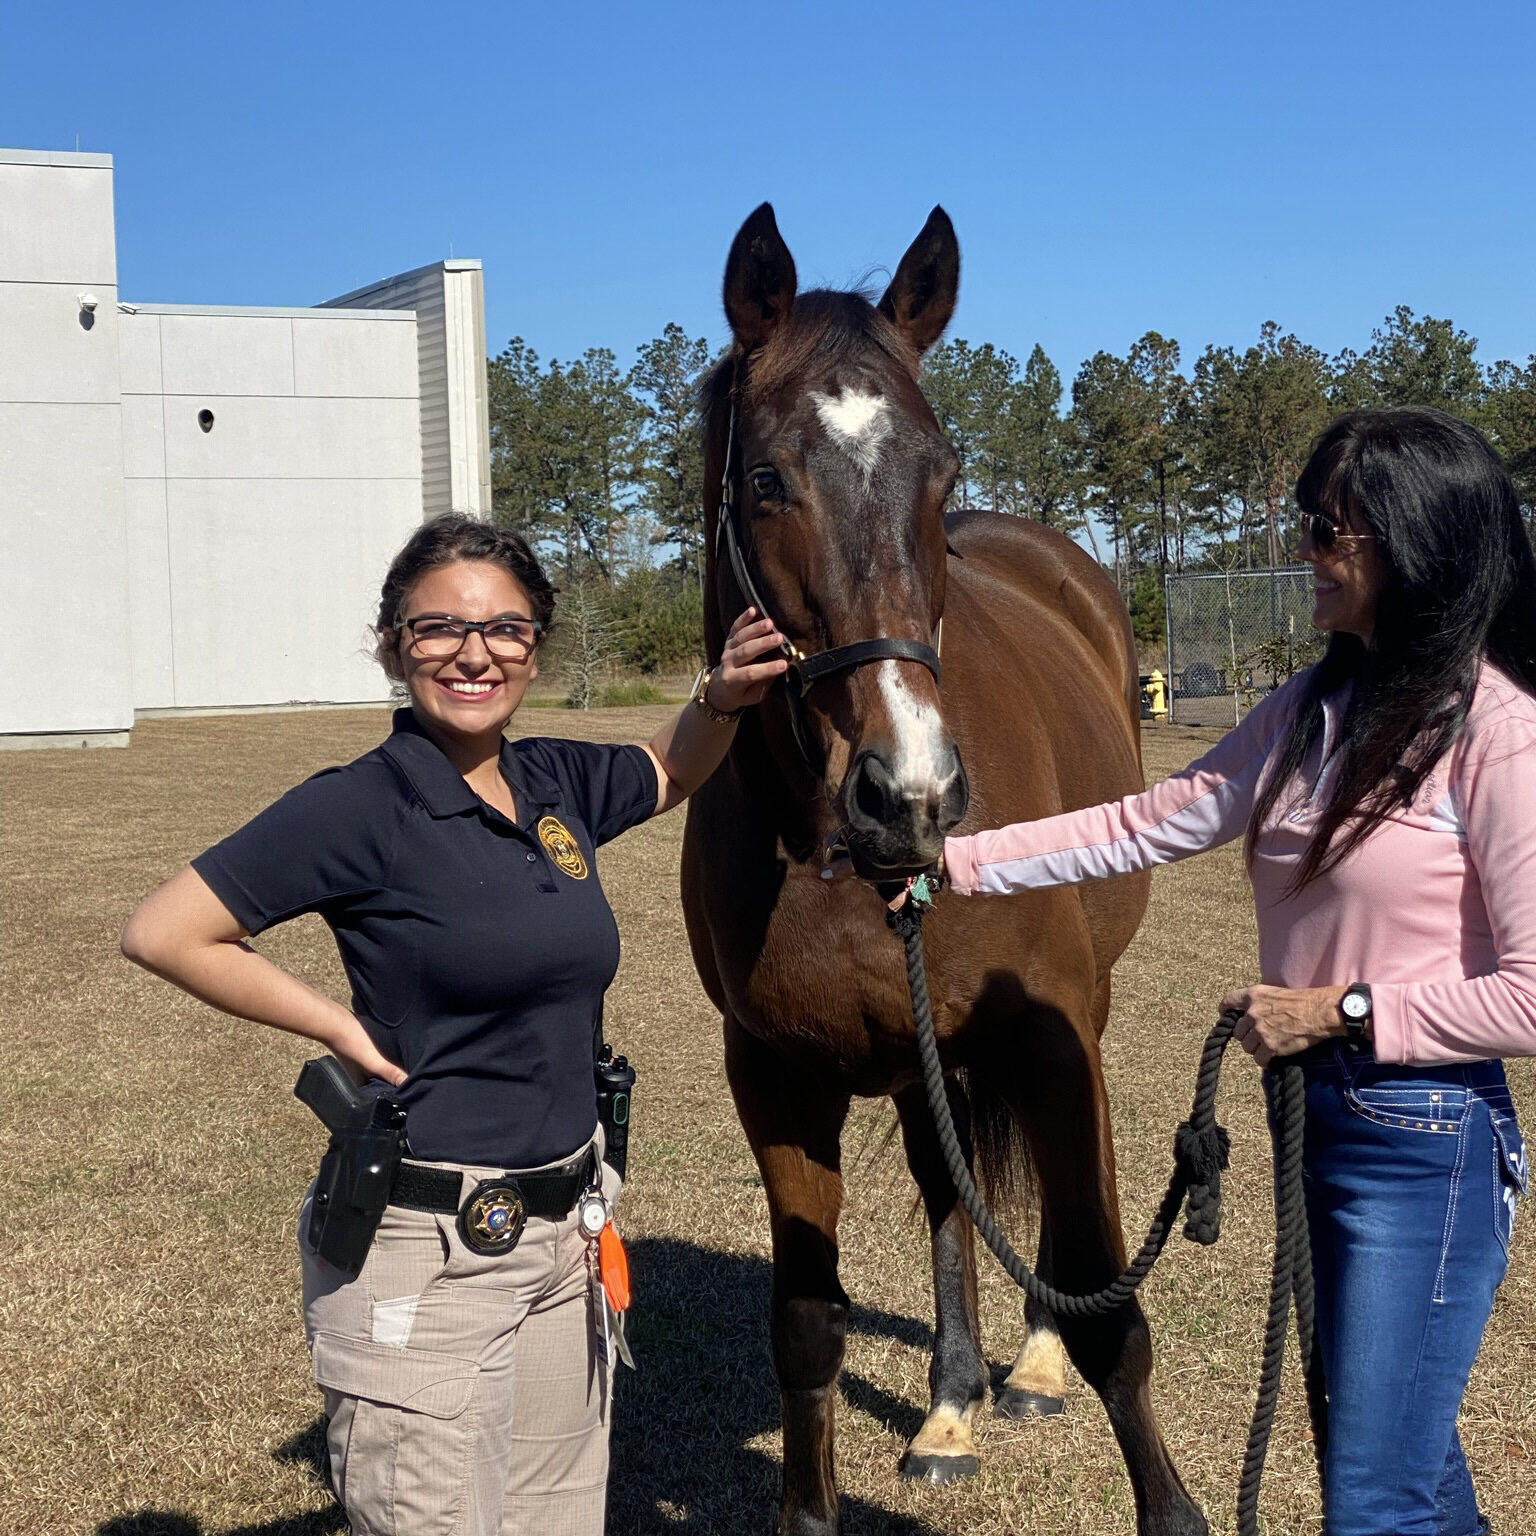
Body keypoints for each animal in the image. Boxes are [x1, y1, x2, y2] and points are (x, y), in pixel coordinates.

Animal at [678, 204, 1204, 1536]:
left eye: (944, 471)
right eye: (768, 479)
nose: (909, 792)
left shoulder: (1053, 1040)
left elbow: (1114, 1314)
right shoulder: (777, 1080)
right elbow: (806, 1328)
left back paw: (1028, 1366)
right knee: (945, 1184)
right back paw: (955, 1403)